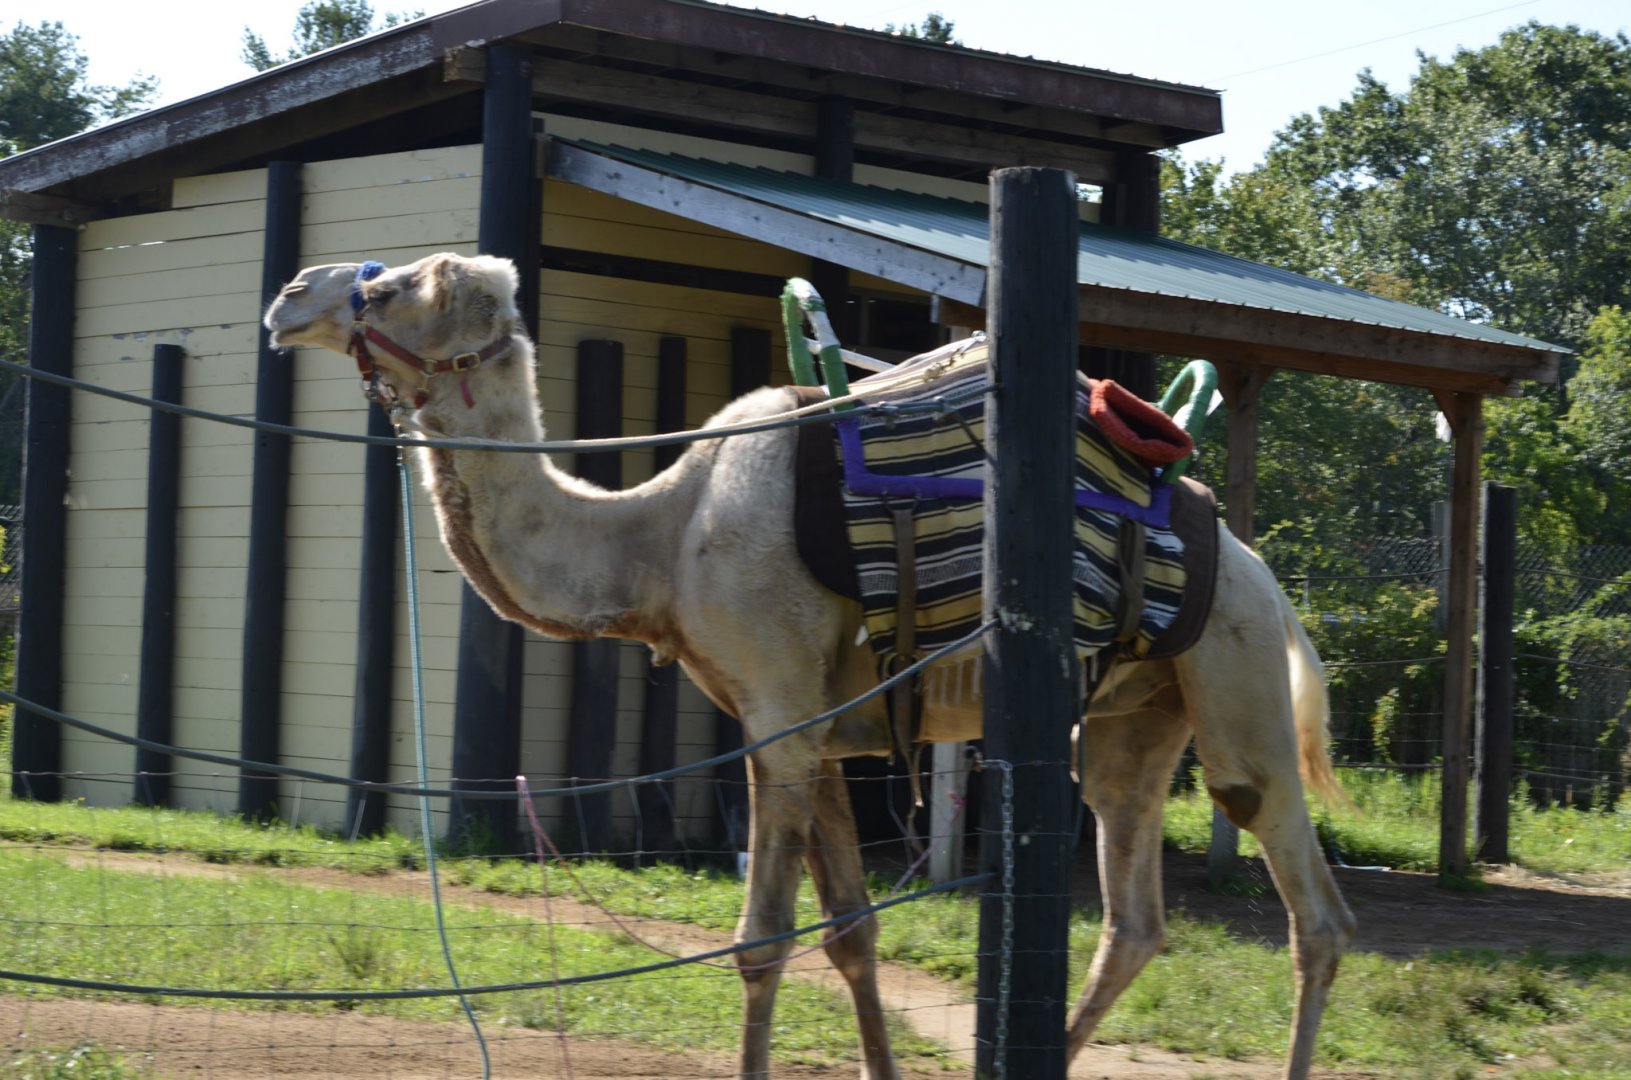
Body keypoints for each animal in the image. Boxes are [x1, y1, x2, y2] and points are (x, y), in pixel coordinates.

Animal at [265, 251, 1355, 1079]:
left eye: (397, 285)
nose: (290, 296)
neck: (659, 538)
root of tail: (1264, 578)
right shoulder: (813, 728)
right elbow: (852, 935)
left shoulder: (778, 714)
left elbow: (761, 943)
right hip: (1136, 717)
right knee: (1132, 915)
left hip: (1235, 681)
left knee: (1311, 909)